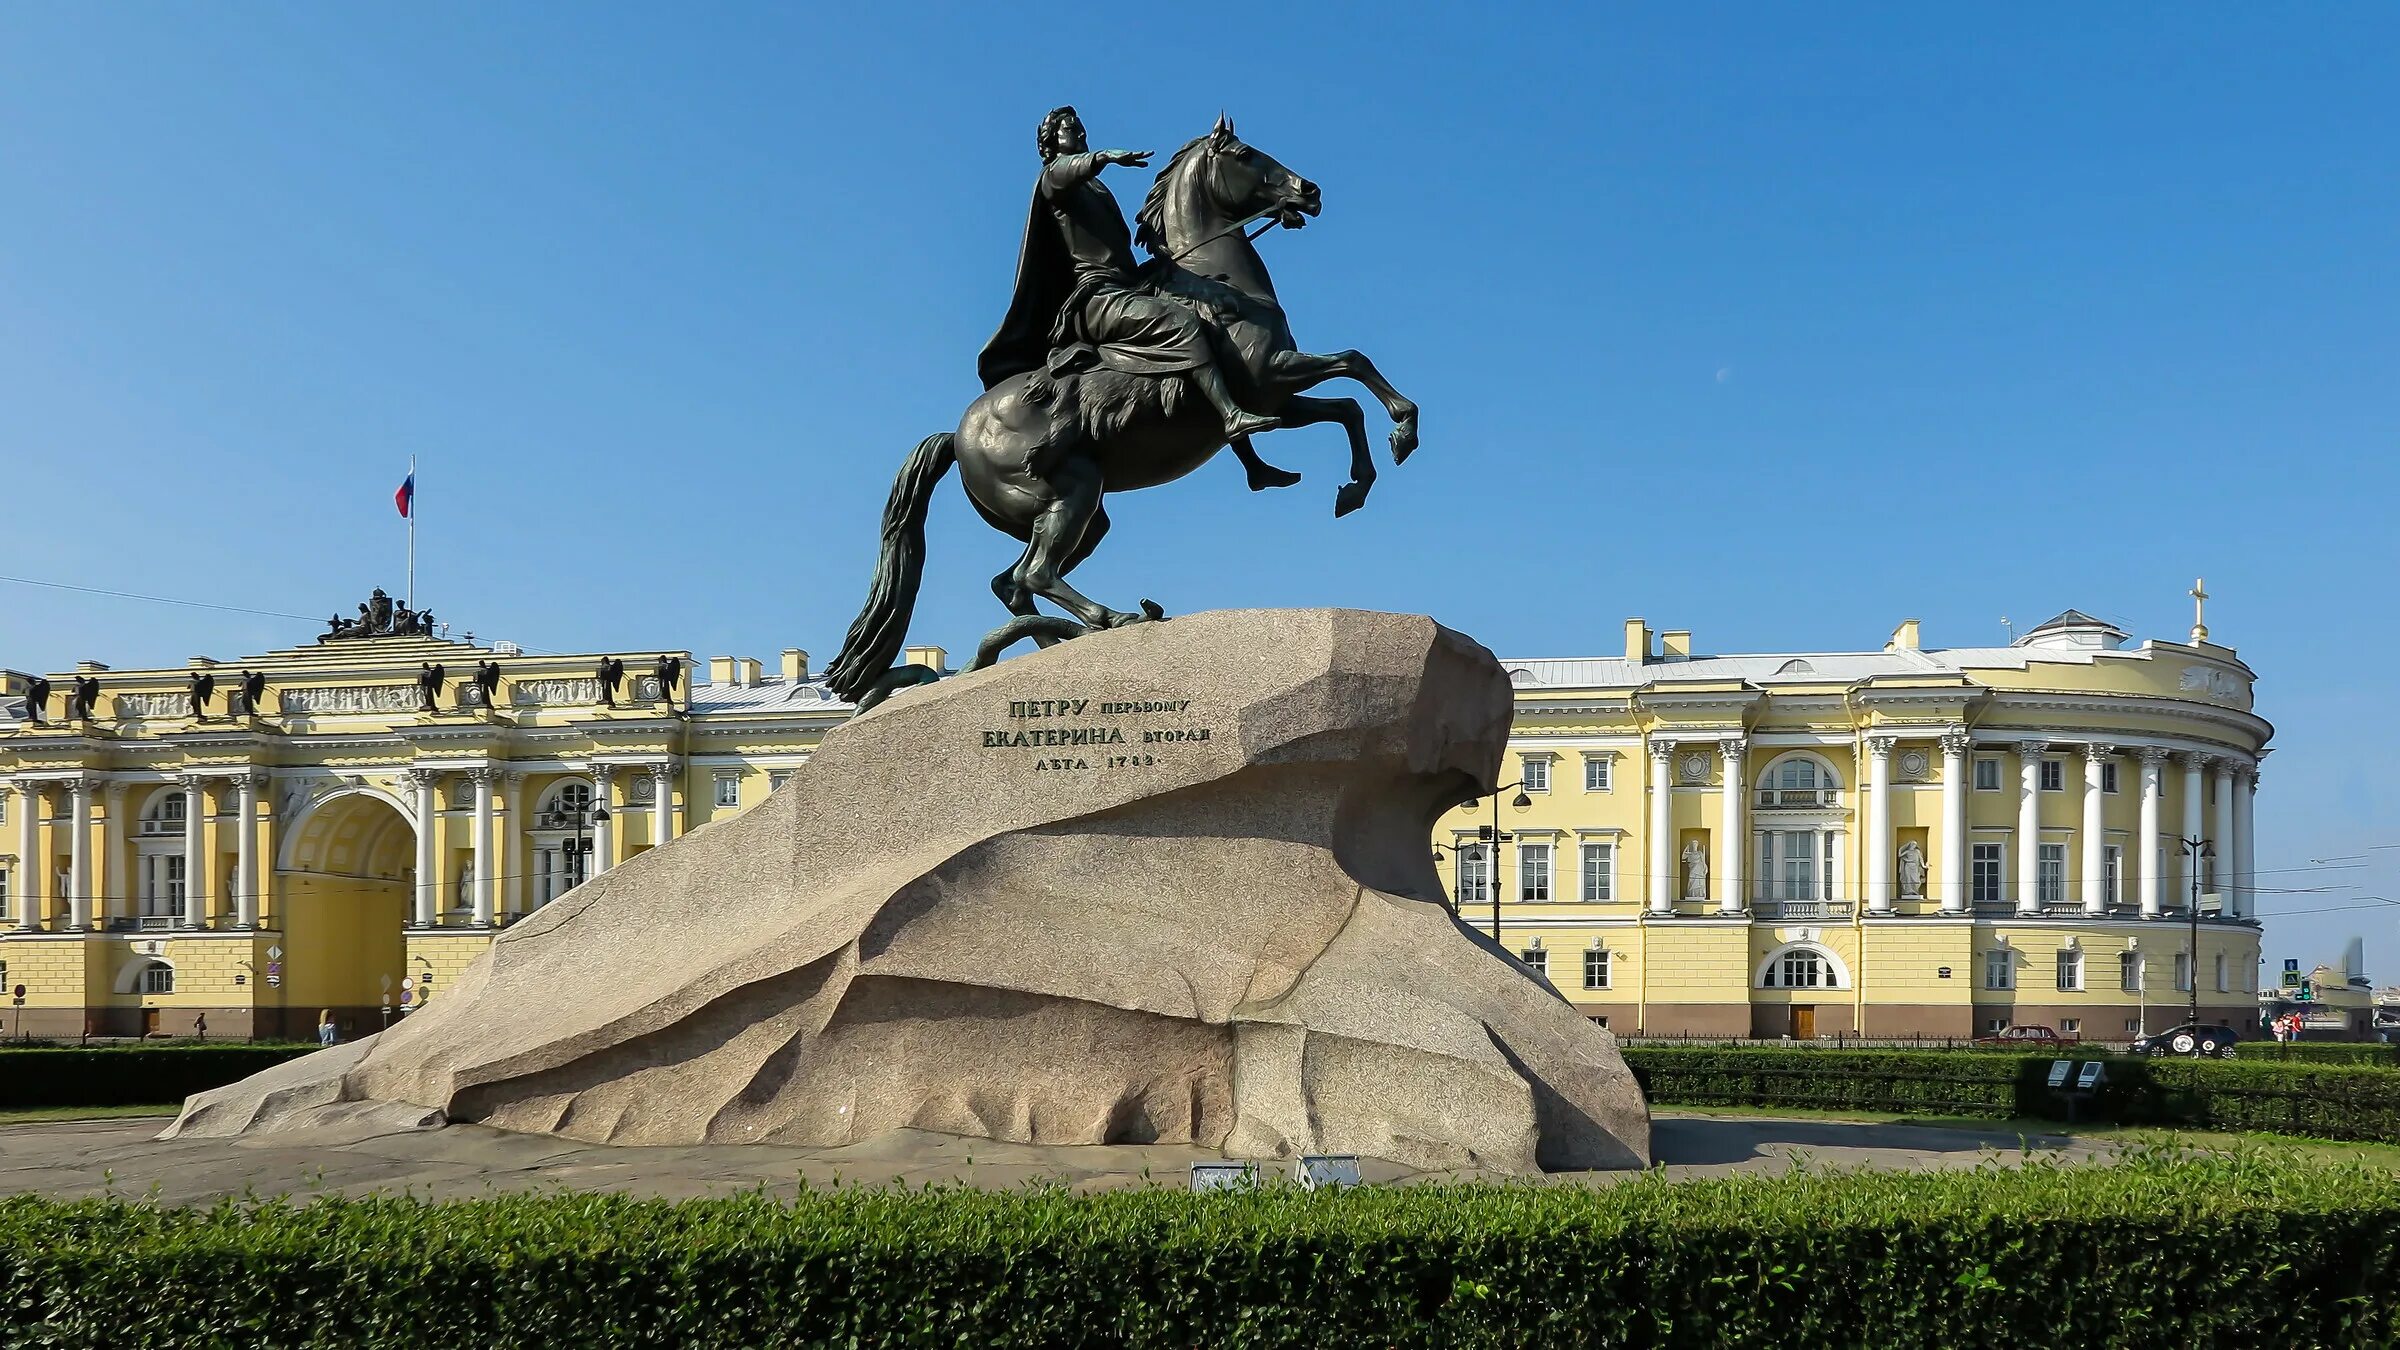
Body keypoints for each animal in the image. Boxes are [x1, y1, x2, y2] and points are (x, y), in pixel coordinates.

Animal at [825, 115, 1411, 706]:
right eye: (1246, 154)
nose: (1308, 191)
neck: (1218, 284)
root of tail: (957, 434)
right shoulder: (1272, 377)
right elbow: (1353, 365)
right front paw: (1404, 429)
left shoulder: (1279, 397)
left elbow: (1346, 406)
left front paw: (1357, 484)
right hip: (1073, 491)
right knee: (1034, 574)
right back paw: (1112, 618)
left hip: (1079, 513)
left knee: (1011, 583)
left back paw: (1057, 643)